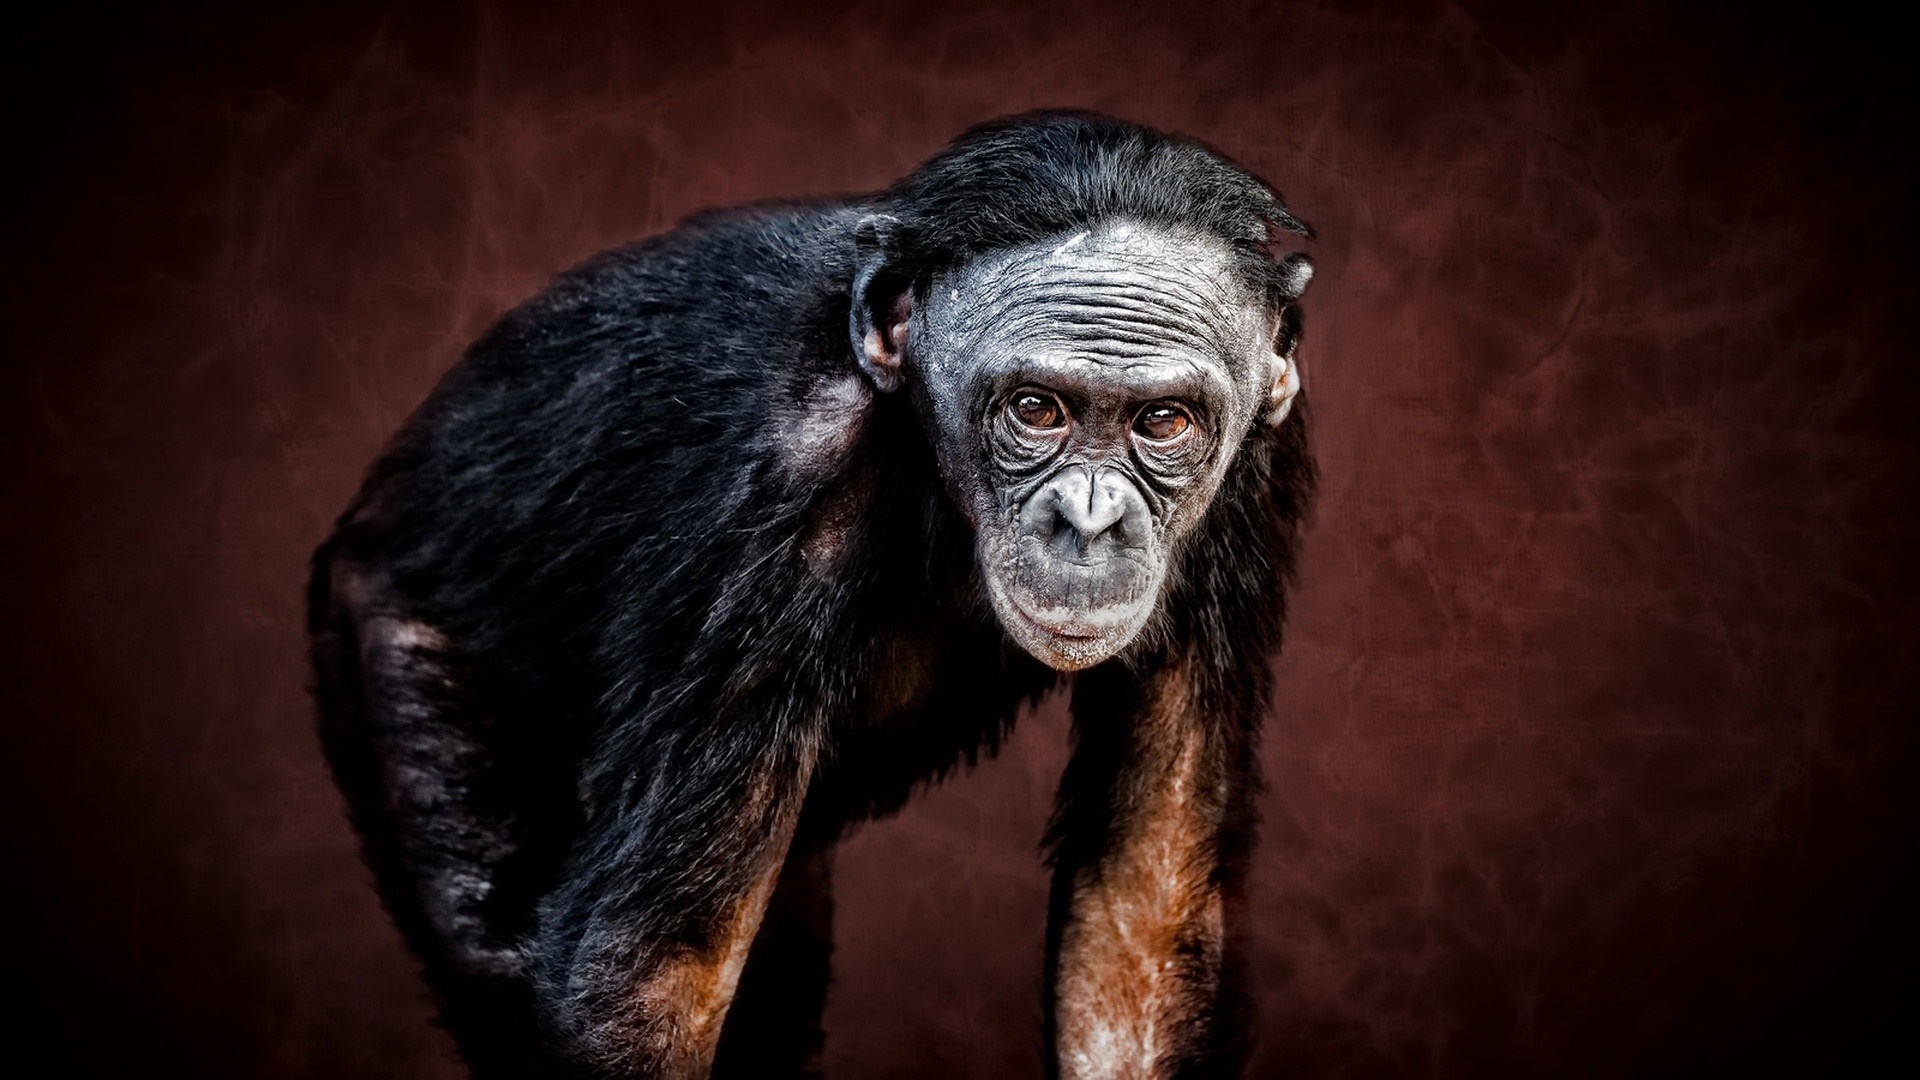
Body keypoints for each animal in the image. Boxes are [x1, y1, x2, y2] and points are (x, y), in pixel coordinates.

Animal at [309, 110, 1316, 1079]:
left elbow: (1139, 920)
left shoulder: (1249, 479)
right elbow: (648, 976)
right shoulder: (779, 479)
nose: (1092, 518)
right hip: (398, 645)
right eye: (1037, 409)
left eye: (1163, 422)